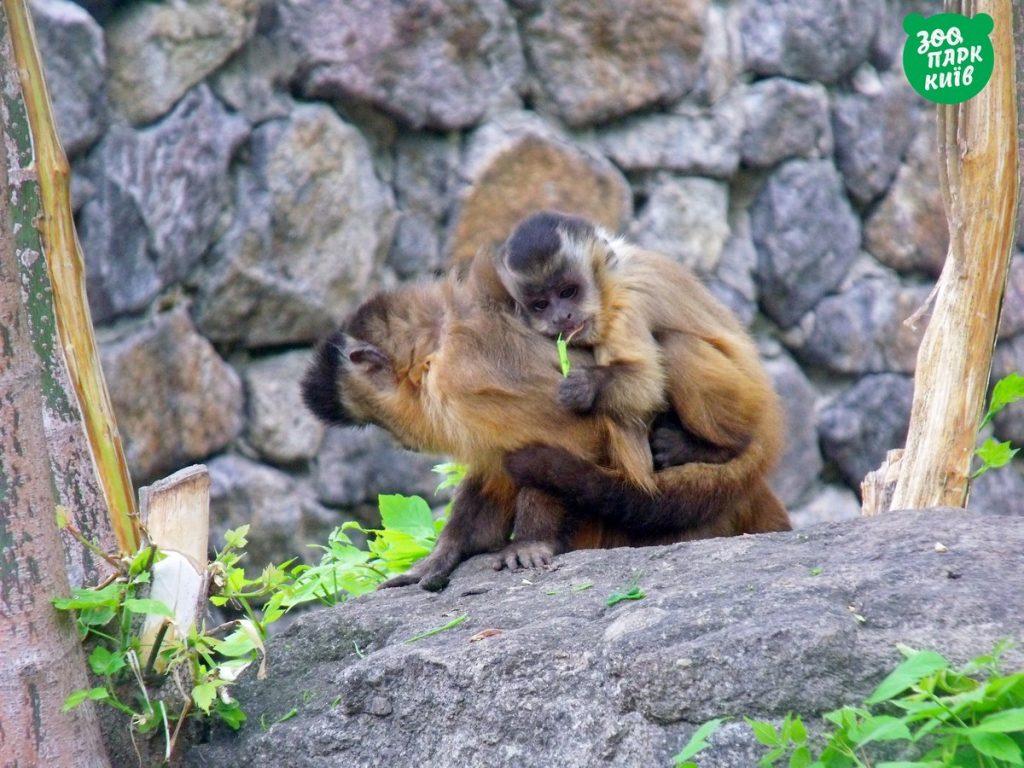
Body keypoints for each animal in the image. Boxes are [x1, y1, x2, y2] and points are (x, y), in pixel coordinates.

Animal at [299, 243, 786, 593]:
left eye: (376, 422)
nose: (401, 442)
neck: (435, 344)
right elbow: (495, 467)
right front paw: (443, 555)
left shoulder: (466, 374)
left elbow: (570, 436)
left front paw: (532, 539)